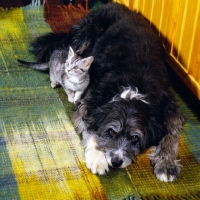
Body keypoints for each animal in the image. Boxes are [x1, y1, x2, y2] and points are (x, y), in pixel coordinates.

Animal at [30, 2, 185, 181]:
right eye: (111, 131)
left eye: (135, 137)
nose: (116, 162)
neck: (133, 90)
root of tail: (111, 4)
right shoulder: (89, 104)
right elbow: (91, 130)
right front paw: (98, 159)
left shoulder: (169, 106)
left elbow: (171, 133)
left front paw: (167, 164)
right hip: (84, 35)